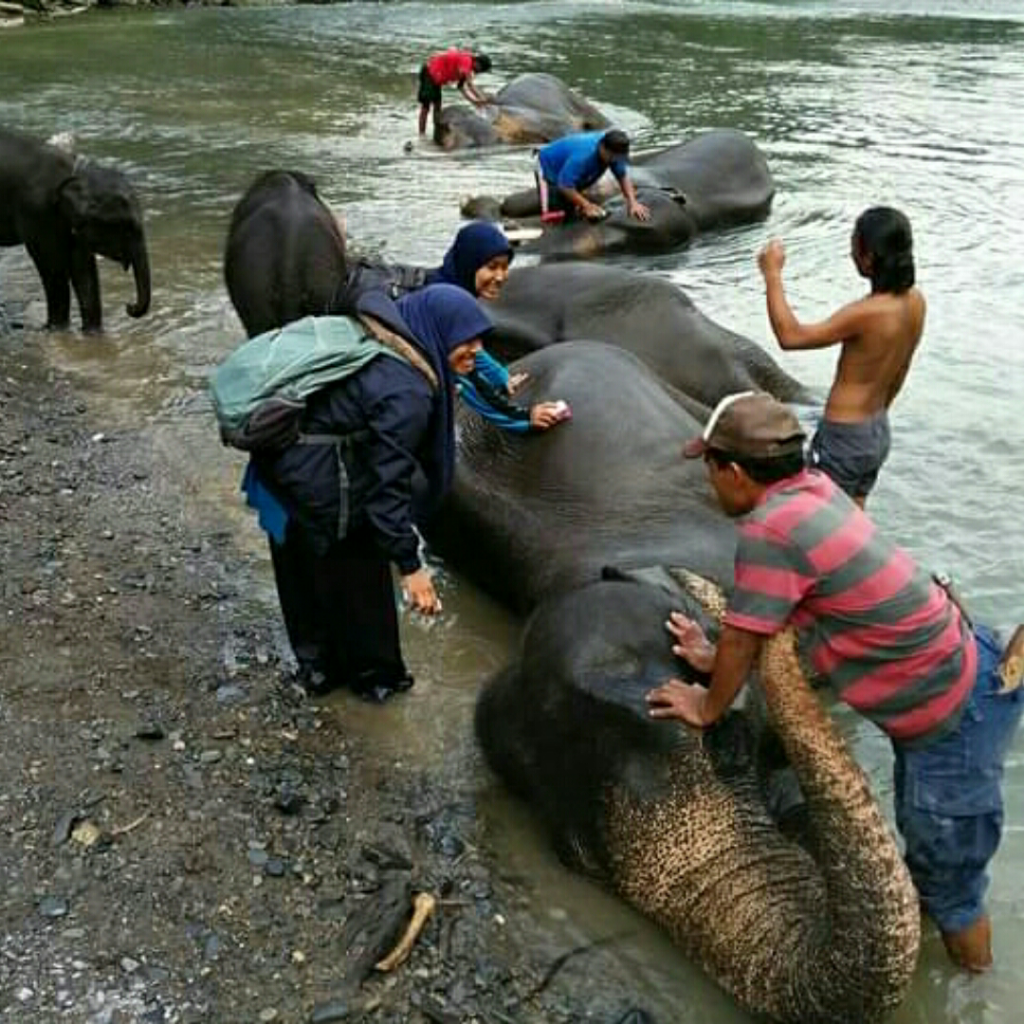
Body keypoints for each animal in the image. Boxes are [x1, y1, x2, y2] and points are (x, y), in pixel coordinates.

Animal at [0, 123, 149, 331]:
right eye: (127, 227)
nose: (129, 306)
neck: (75, 173)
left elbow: (83, 268)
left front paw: (93, 333)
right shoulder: (36, 210)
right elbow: (53, 267)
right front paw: (56, 328)